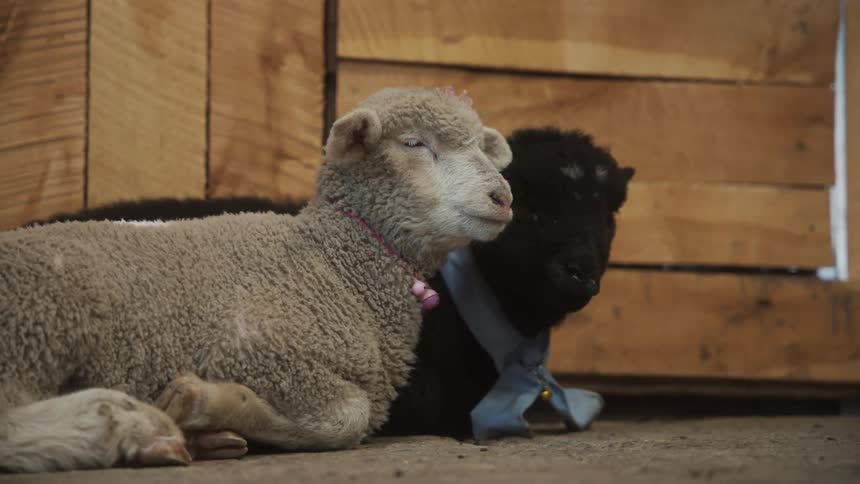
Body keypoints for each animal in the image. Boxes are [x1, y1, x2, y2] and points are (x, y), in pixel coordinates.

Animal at [0, 87, 514, 473]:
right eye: (414, 144)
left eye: (479, 146)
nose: (503, 196)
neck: (336, 263)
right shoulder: (255, 346)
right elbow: (347, 417)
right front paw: (203, 403)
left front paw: (210, 429)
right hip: (44, 318)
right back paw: (123, 425)